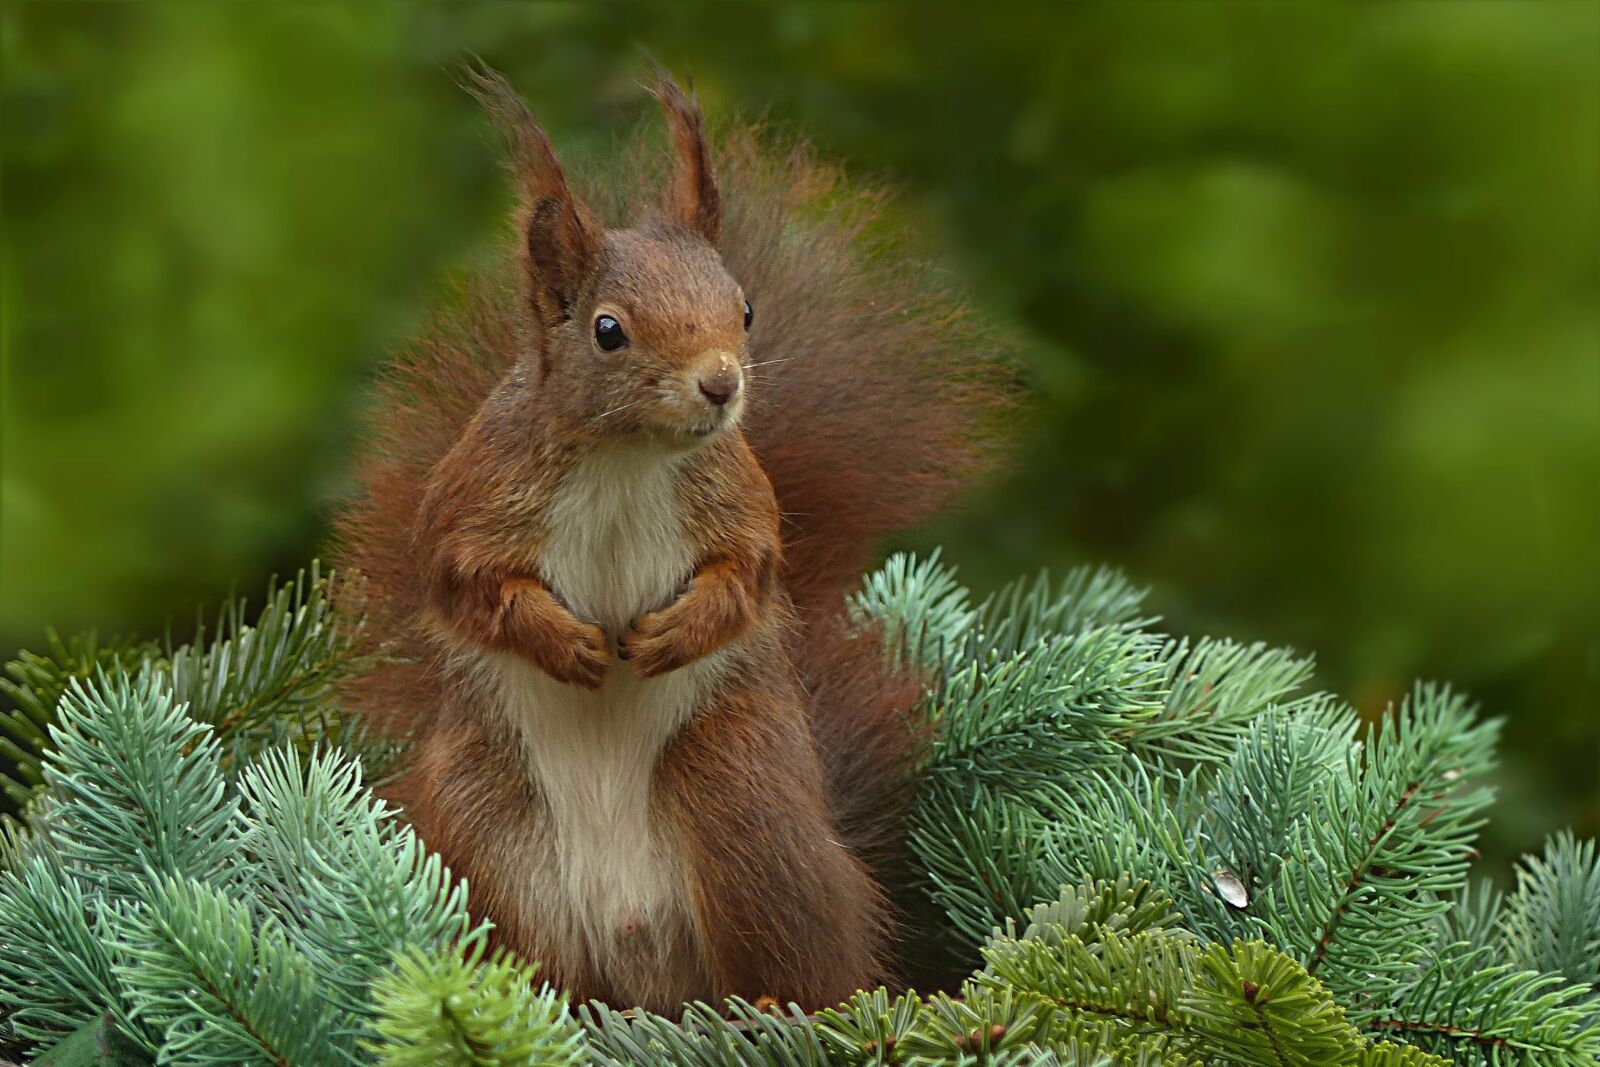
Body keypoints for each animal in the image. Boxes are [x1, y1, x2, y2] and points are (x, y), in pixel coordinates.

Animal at [335, 66, 1005, 1012]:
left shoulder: (742, 503)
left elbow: (747, 577)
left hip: (744, 816)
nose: (722, 385)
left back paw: (772, 1006)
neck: (628, 458)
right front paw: (565, 641)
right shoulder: (472, 501)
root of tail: (638, 961)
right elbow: (470, 586)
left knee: (804, 962)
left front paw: (675, 633)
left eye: (746, 309)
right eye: (608, 329)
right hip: (489, 846)